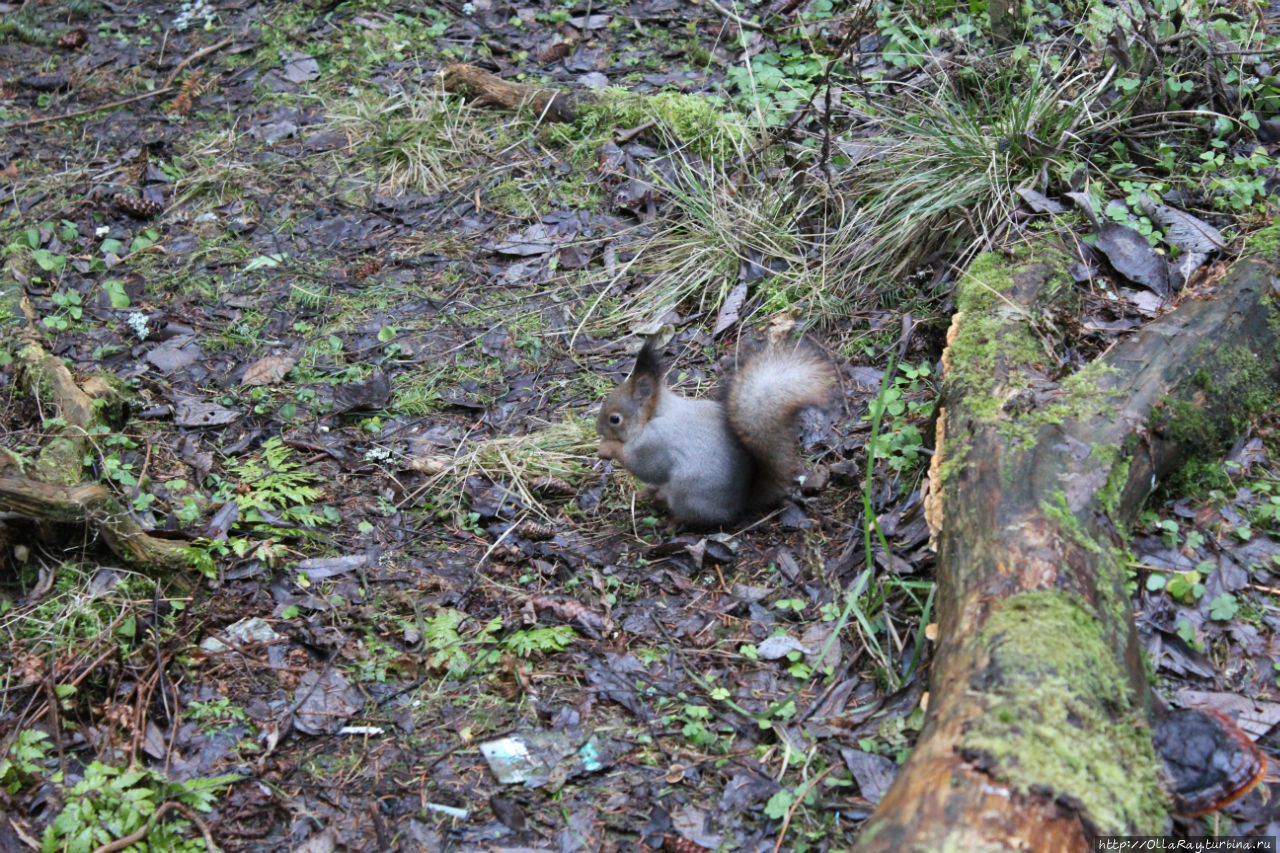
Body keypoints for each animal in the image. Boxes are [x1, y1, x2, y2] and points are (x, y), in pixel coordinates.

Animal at [593, 338, 834, 525]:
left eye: (615, 419)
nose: (597, 429)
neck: (655, 415)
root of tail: (740, 504)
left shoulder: (656, 442)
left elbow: (645, 466)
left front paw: (607, 448)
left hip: (687, 493)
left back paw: (672, 520)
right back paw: (650, 493)